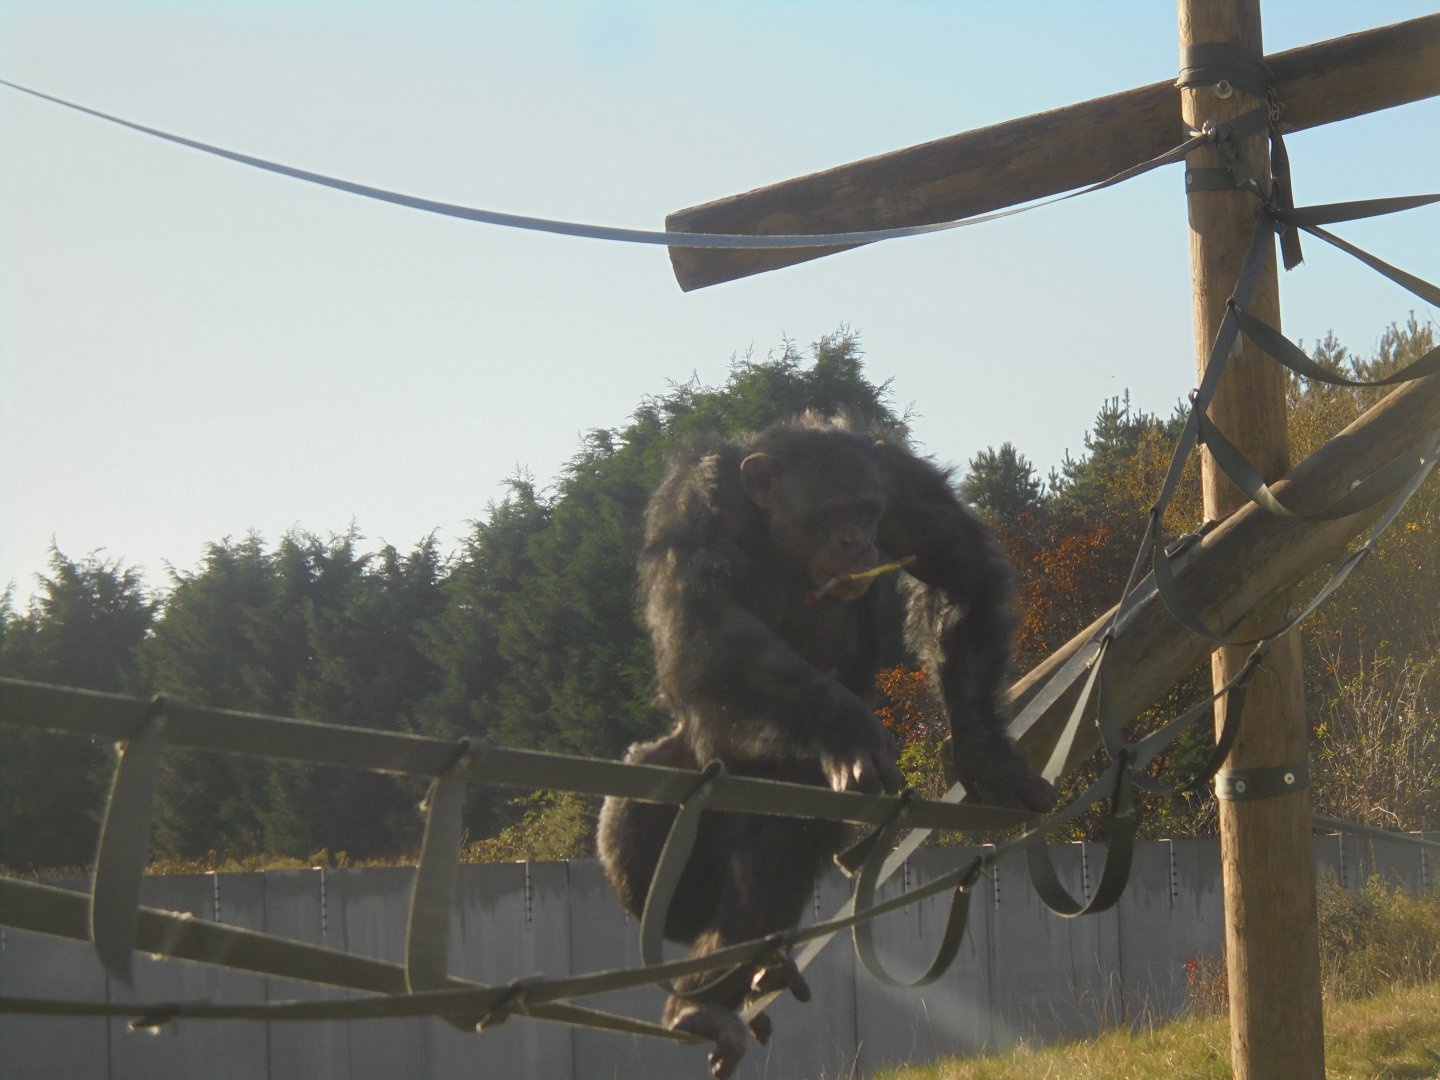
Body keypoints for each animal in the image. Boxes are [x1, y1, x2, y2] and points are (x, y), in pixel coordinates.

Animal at [597, 414, 1056, 1077]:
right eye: (831, 512)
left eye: (866, 511)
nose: (855, 540)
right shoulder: (694, 505)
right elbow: (706, 619)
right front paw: (854, 731)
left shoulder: (900, 482)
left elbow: (959, 567)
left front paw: (985, 753)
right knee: (641, 836)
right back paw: (713, 997)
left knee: (781, 832)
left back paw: (724, 989)